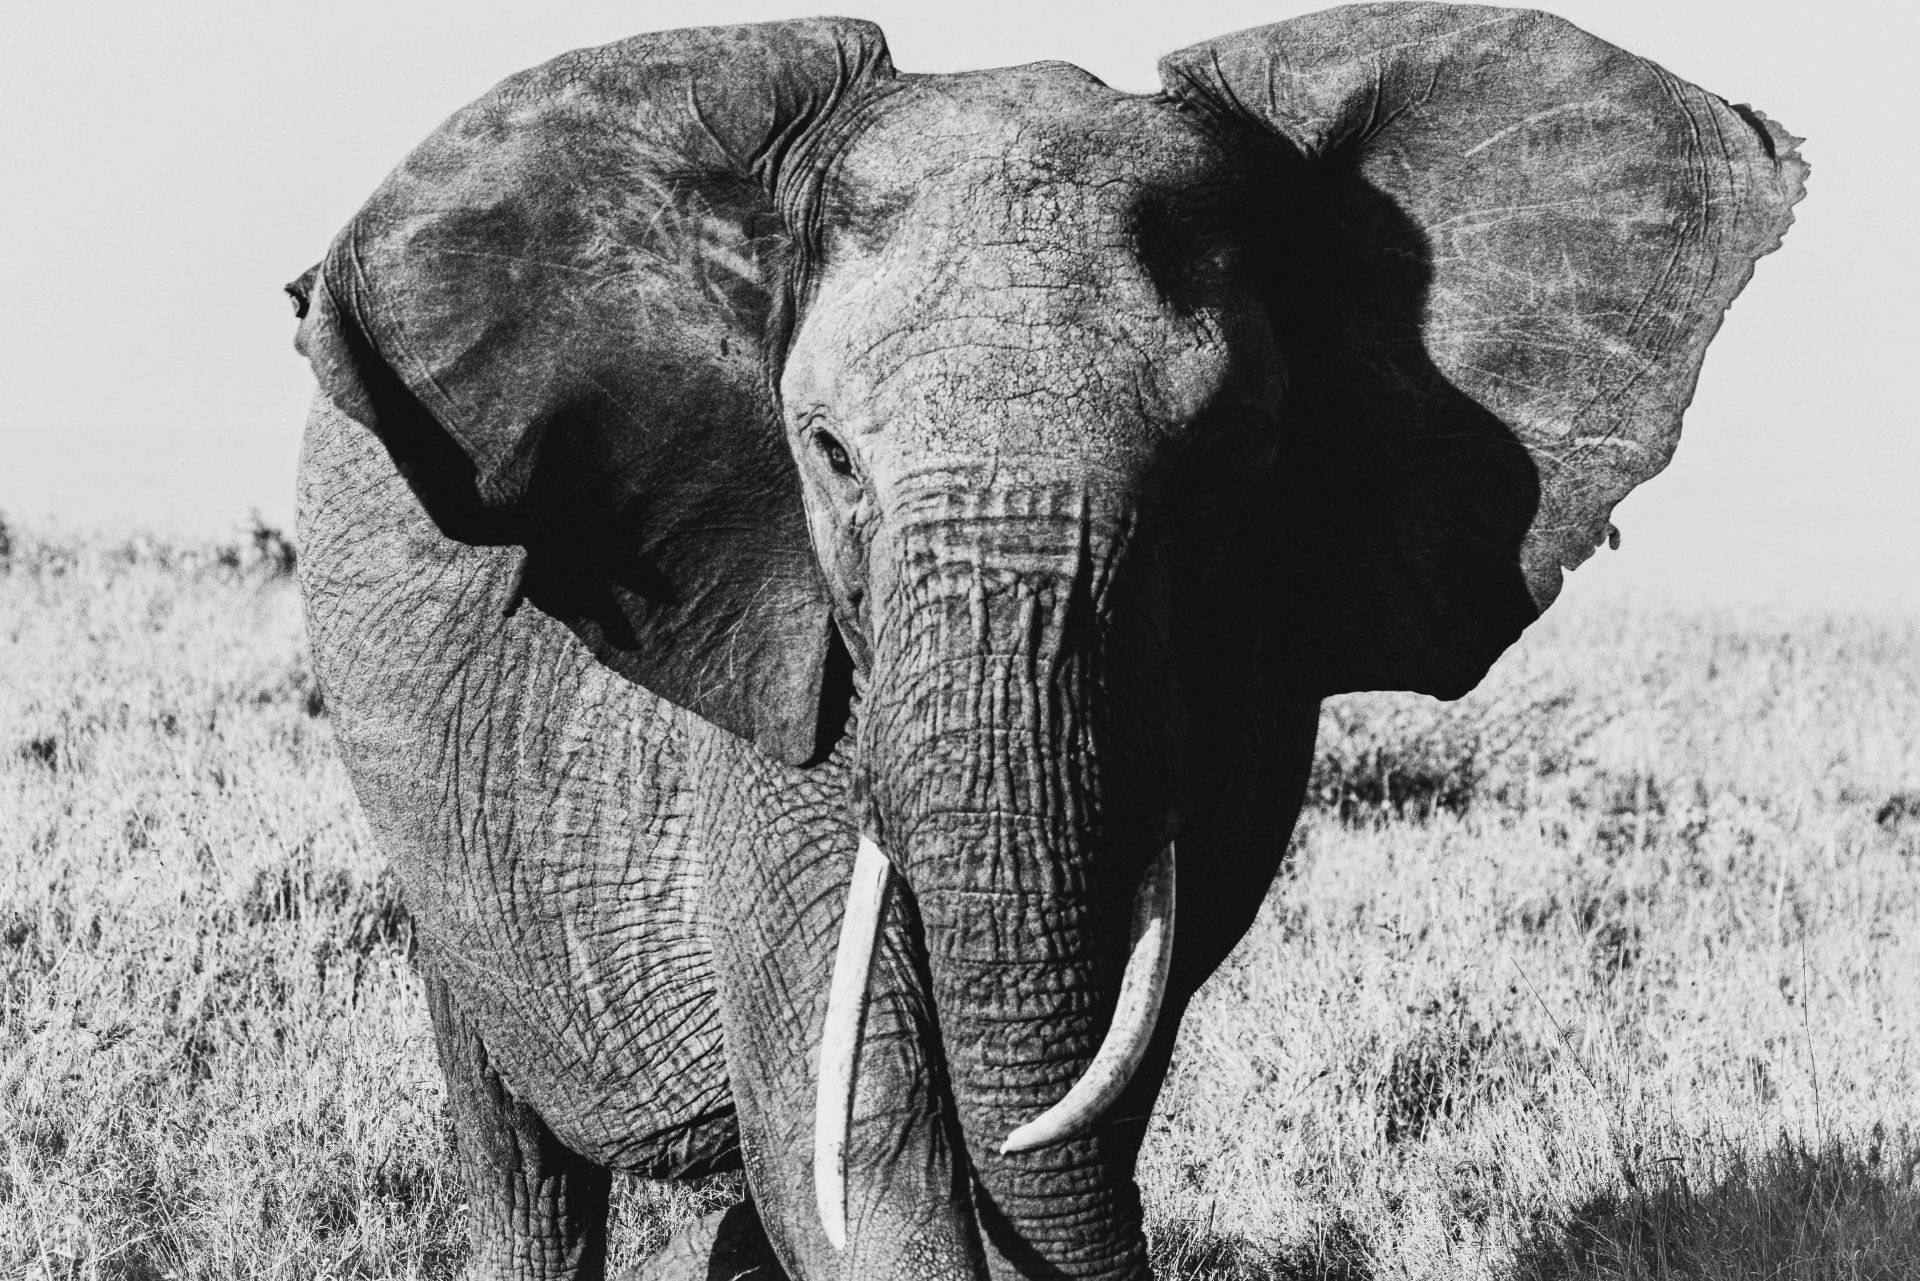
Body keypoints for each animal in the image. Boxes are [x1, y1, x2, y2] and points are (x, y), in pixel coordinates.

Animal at [286, 6, 1803, 1279]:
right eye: (828, 453)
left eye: (1223, 463)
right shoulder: (785, 652)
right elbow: (868, 1140)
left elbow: (1093, 1068)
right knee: (526, 1163)